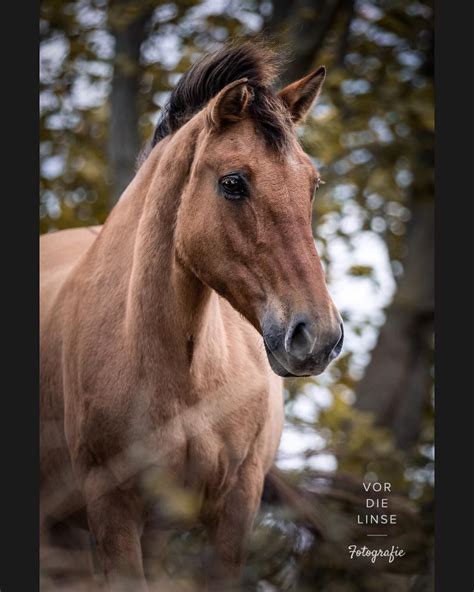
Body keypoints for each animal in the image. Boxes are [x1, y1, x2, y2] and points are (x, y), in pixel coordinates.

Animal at [39, 42, 342, 592]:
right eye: (233, 183)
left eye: (311, 184)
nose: (319, 337)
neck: (187, 377)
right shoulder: (112, 509)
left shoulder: (235, 507)